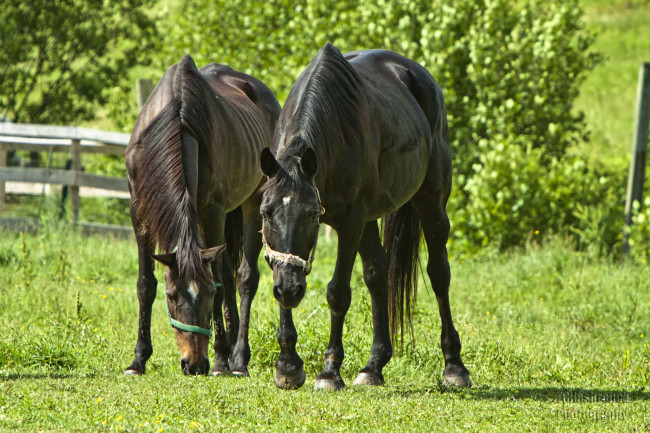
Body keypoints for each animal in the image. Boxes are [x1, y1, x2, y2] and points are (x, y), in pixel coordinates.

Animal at [124, 54, 278, 374]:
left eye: (206, 294)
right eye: (171, 295)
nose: (194, 364)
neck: (178, 123)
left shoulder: (212, 211)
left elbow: (218, 280)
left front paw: (220, 358)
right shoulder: (138, 211)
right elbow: (145, 284)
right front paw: (139, 358)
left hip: (253, 203)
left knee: (245, 278)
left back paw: (238, 357)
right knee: (230, 276)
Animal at [260, 44, 470, 388]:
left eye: (311, 214)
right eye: (266, 213)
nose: (291, 289)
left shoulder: (351, 222)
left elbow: (338, 292)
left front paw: (330, 371)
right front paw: (288, 365)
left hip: (431, 203)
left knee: (439, 273)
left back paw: (455, 367)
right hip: (373, 218)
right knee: (377, 274)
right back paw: (373, 366)